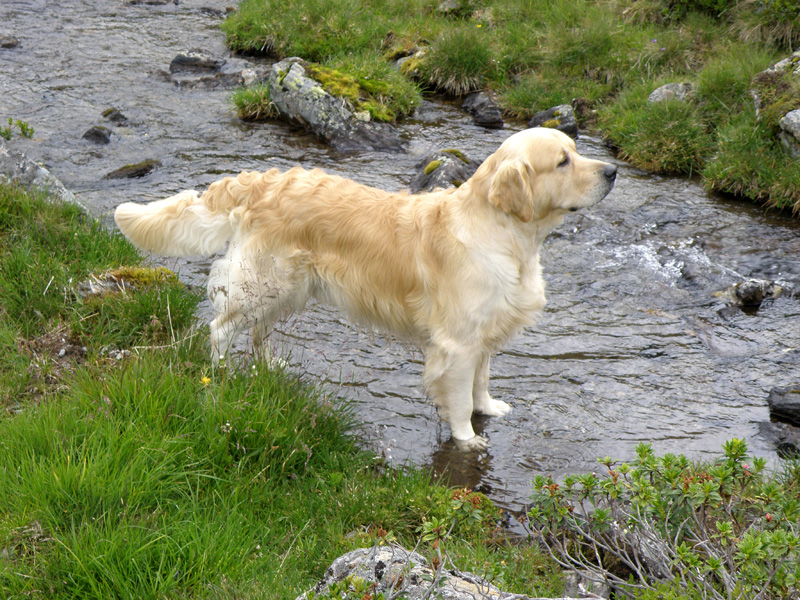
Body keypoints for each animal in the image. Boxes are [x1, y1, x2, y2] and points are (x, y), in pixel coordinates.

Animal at [114, 126, 620, 448]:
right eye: (563, 161)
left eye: (576, 150)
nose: (613, 171)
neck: (506, 235)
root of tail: (261, 181)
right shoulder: (457, 344)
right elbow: (458, 398)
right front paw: (467, 438)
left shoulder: (485, 334)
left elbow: (481, 382)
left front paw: (489, 409)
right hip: (264, 280)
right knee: (221, 329)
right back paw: (219, 376)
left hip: (288, 286)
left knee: (258, 331)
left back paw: (269, 366)